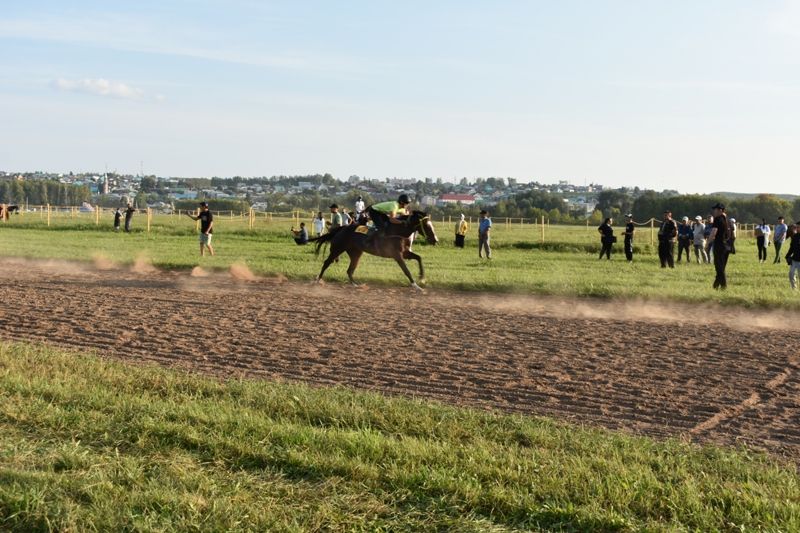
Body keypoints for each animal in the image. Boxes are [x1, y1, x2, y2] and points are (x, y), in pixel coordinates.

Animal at [310, 210, 438, 288]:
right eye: (427, 225)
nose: (435, 240)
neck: (399, 231)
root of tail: (341, 228)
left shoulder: (405, 253)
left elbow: (419, 258)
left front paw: (422, 278)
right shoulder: (397, 255)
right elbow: (406, 270)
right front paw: (416, 286)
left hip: (356, 253)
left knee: (350, 270)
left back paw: (356, 285)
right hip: (337, 249)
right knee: (327, 263)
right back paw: (317, 280)